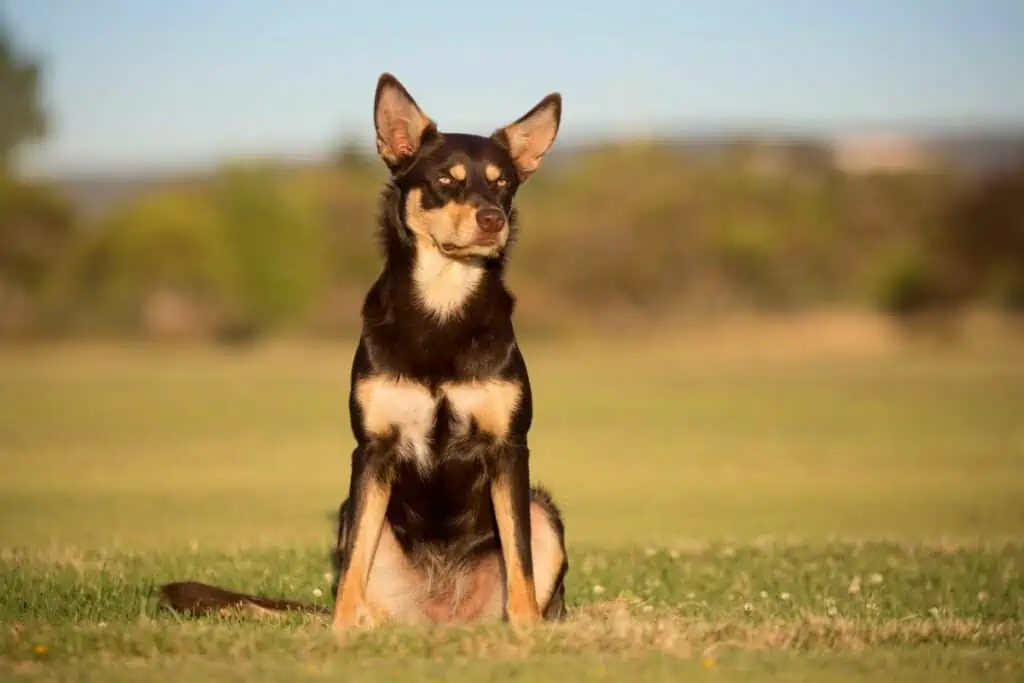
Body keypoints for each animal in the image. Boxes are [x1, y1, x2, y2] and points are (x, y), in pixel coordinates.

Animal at [163, 73, 573, 630]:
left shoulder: (509, 448)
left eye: (503, 183)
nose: (493, 219)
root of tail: (440, 619)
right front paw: (339, 633)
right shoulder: (373, 451)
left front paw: (528, 632)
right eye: (446, 180)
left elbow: (521, 559)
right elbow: (355, 560)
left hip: (542, 509)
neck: (442, 309)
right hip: (351, 513)